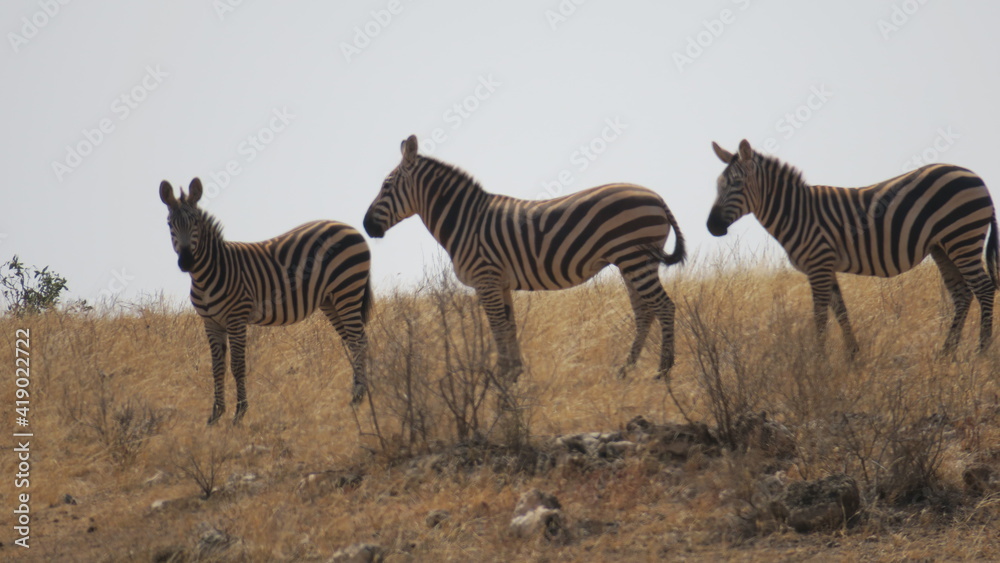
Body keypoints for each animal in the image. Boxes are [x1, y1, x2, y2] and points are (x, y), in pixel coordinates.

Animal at [160, 178, 372, 425]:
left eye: (195, 222)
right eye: (169, 224)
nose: (186, 262)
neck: (208, 273)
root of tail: (348, 227)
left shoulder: (236, 318)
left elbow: (237, 365)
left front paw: (239, 413)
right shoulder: (211, 322)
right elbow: (217, 367)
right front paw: (215, 415)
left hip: (347, 290)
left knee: (359, 341)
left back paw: (359, 397)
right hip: (331, 300)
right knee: (352, 341)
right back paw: (357, 395)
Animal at [363, 135, 685, 381]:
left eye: (386, 186)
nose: (366, 226)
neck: (465, 221)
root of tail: (656, 197)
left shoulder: (486, 279)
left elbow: (497, 328)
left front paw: (500, 378)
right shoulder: (500, 283)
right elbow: (509, 326)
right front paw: (514, 374)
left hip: (635, 258)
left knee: (664, 307)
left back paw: (663, 371)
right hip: (632, 262)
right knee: (645, 312)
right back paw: (625, 369)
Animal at [708, 139, 999, 355]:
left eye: (736, 184)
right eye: (718, 185)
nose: (711, 227)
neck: (797, 213)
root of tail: (975, 176)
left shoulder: (818, 264)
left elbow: (821, 315)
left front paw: (819, 361)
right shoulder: (826, 265)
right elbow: (840, 311)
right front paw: (853, 357)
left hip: (962, 237)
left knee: (984, 289)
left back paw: (981, 352)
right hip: (943, 246)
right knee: (962, 294)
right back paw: (947, 353)